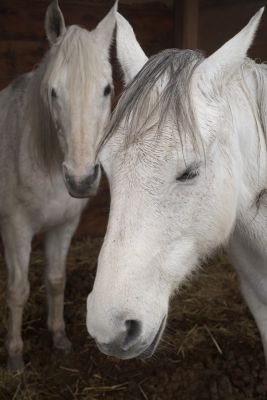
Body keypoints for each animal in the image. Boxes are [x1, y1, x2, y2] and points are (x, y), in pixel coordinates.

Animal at [0, 0, 117, 368]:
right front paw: (14, 355)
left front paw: (59, 337)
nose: (81, 180)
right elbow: (18, 289)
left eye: (106, 89)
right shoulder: (16, 230)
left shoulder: (65, 225)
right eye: (53, 91)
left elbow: (55, 280)